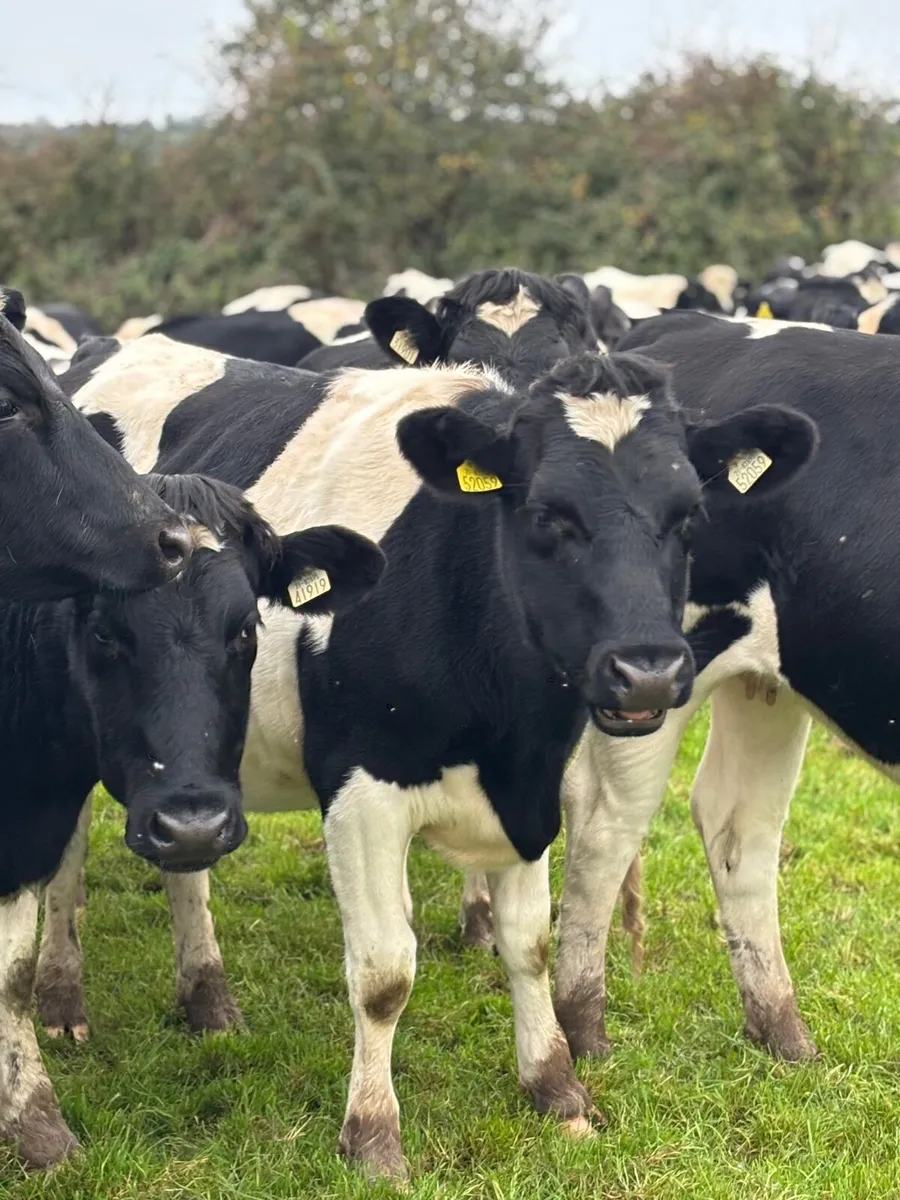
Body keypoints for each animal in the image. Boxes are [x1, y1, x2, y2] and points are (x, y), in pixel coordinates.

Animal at [55, 333, 816, 1178]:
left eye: (689, 515)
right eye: (546, 514)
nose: (648, 669)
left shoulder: (534, 788)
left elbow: (530, 944)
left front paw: (556, 1088)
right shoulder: (360, 792)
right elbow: (385, 972)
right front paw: (372, 1134)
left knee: (184, 867)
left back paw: (207, 997)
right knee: (65, 869)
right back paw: (65, 1000)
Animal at [547, 309, 900, 1078]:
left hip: (766, 679)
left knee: (739, 823)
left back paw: (782, 1030)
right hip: (652, 680)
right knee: (605, 822)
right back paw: (582, 1028)